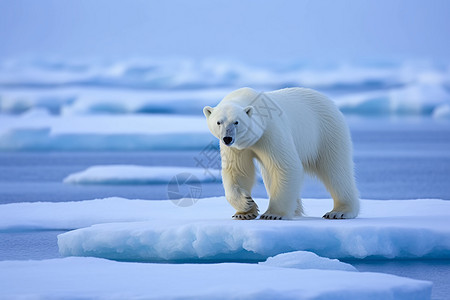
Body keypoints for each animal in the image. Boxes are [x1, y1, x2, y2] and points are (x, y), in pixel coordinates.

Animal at [203, 86, 358, 220]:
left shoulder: (270, 131)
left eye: (236, 122)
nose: (227, 138)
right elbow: (237, 171)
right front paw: (245, 208)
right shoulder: (237, 148)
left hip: (326, 132)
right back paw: (296, 209)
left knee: (336, 170)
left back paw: (339, 211)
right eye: (219, 122)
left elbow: (285, 166)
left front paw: (273, 214)